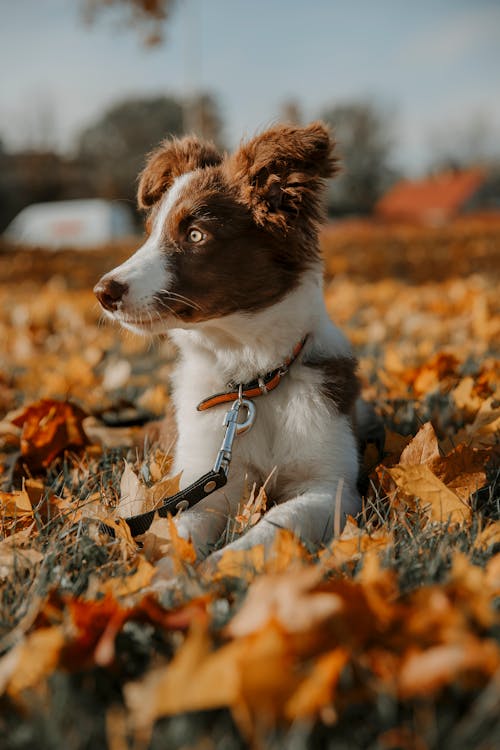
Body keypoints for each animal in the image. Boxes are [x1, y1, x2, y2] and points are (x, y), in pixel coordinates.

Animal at [93, 123, 364, 568]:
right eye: (149, 235)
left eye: (195, 234)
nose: (103, 292)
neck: (251, 379)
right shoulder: (202, 485)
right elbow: (180, 531)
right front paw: (169, 578)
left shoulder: (330, 487)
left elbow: (275, 525)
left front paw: (222, 567)